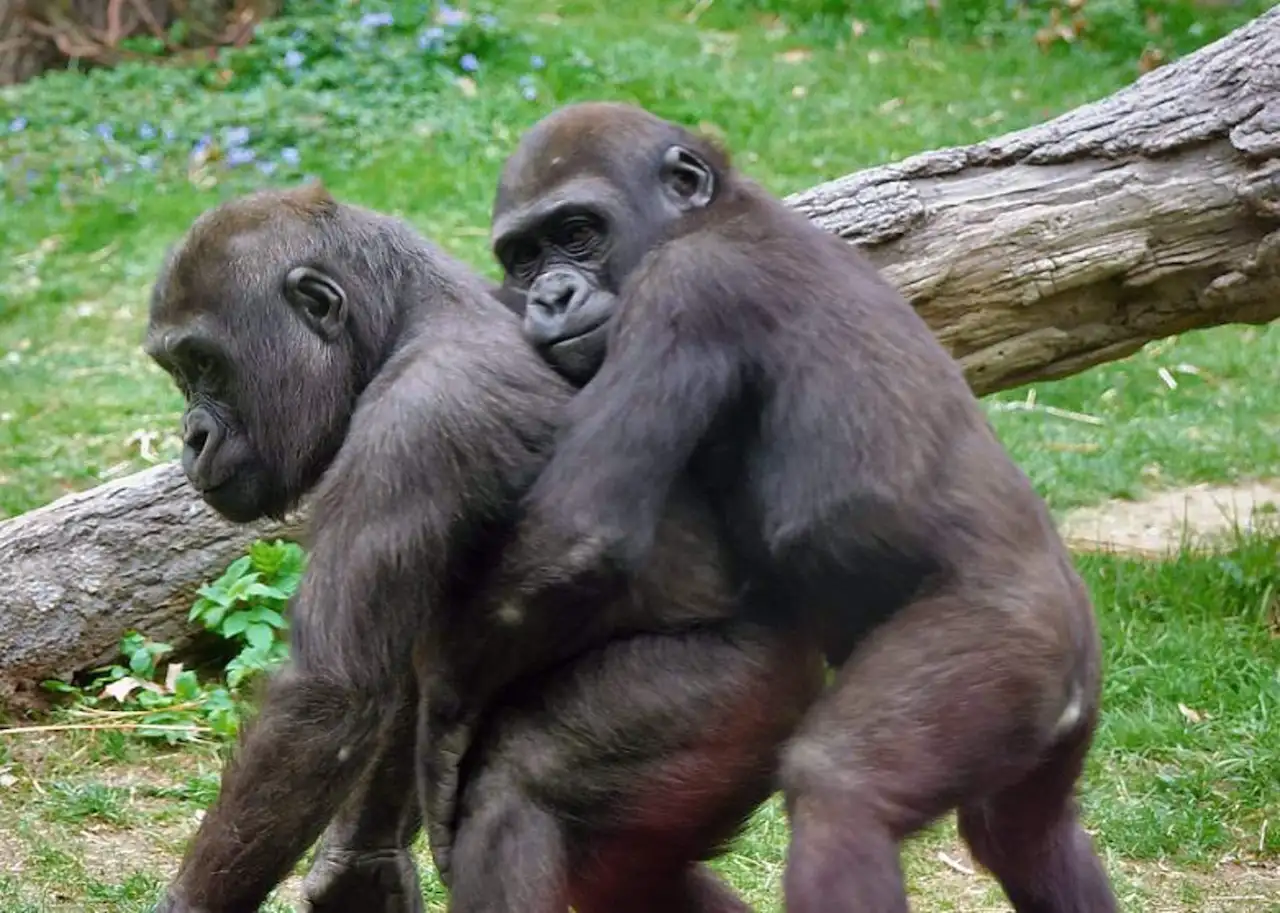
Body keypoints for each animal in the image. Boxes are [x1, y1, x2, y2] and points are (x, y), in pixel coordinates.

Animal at [140, 183, 819, 911]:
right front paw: (361, 862)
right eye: (179, 371)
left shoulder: (417, 423)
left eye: (205, 364)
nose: (193, 436)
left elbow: (330, 693)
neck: (401, 321)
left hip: (737, 695)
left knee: (514, 786)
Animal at [455, 103, 1116, 911]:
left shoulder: (686, 287)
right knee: (1026, 833)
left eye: (578, 232)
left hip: (1013, 646)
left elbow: (579, 532)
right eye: (522, 257)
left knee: (841, 788)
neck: (716, 212)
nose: (549, 296)